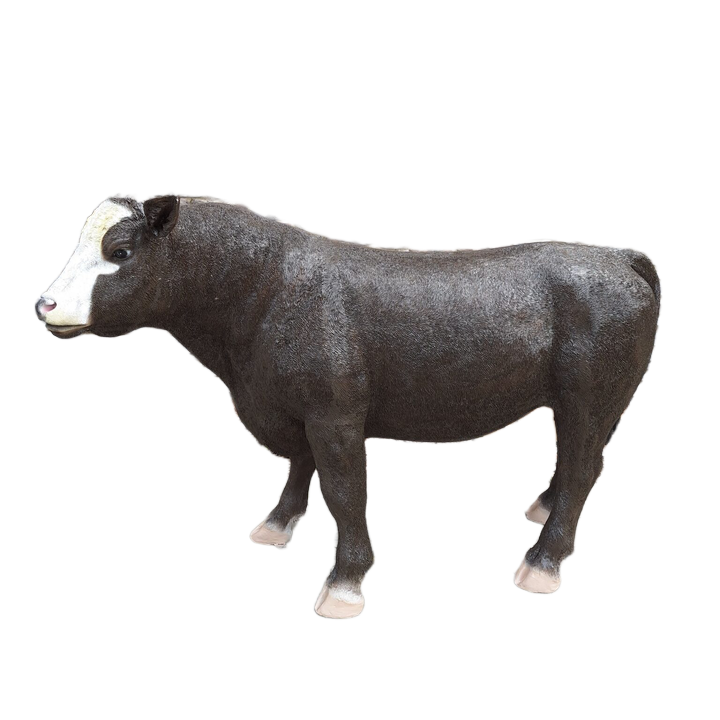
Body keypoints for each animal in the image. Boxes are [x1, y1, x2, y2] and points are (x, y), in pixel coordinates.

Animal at [35, 188, 661, 619]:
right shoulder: (295, 406)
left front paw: (346, 581)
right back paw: (542, 507)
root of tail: (618, 260)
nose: (45, 305)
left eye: (119, 250)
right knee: (577, 466)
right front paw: (278, 523)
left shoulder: (334, 412)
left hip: (590, 396)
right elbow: (300, 466)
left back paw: (543, 561)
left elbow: (343, 491)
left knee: (583, 467)